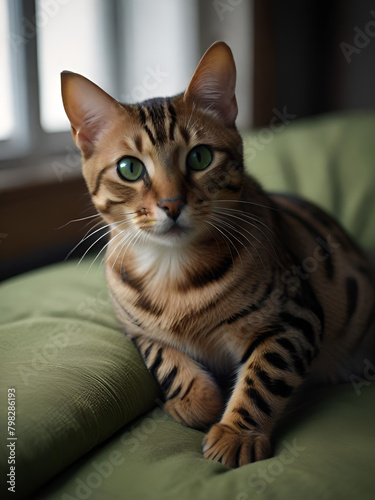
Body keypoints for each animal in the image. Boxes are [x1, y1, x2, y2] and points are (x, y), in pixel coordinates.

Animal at [61, 41, 375, 466]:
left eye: (199, 158)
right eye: (129, 168)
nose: (172, 204)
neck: (172, 271)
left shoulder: (293, 318)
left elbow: (264, 377)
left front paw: (236, 434)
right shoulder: (137, 332)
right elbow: (166, 360)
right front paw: (193, 402)